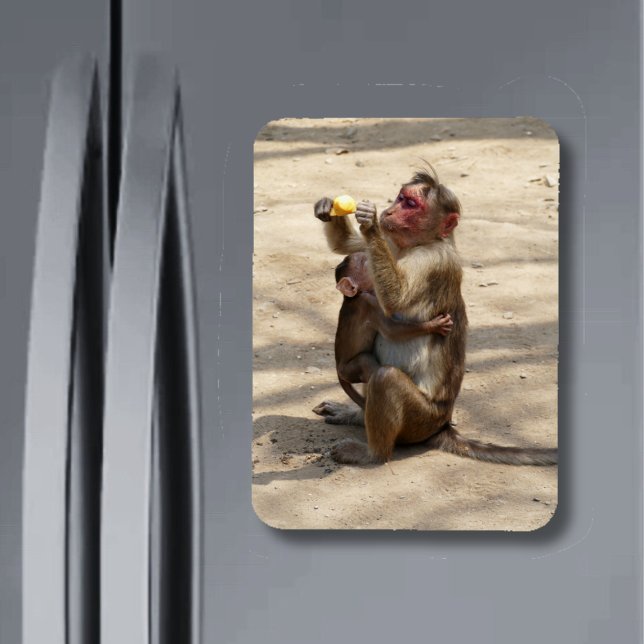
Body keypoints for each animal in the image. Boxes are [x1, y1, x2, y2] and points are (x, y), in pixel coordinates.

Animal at [333, 251, 453, 409]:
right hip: (347, 370)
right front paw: (435, 325)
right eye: (365, 262)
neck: (356, 295)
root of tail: (337, 367)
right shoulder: (369, 303)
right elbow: (391, 331)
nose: (369, 255)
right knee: (365, 361)